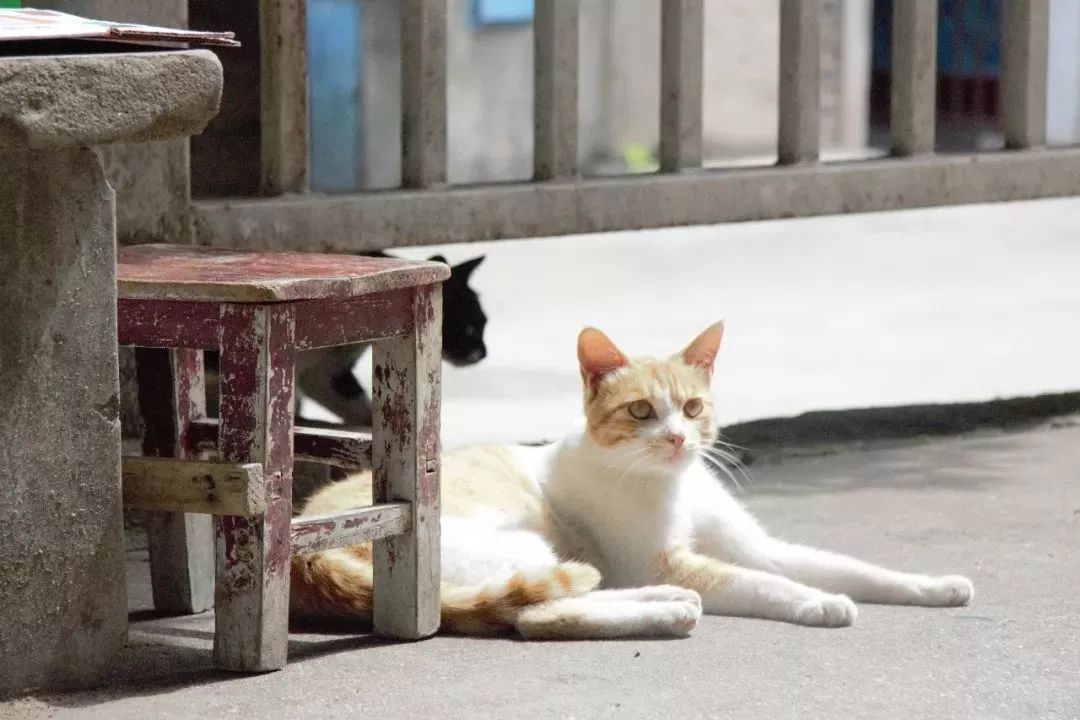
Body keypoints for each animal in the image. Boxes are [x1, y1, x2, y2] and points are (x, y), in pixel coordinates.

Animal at [291, 323, 976, 639]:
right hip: (517, 548)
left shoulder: (759, 547)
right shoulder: (667, 558)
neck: (674, 483)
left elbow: (853, 568)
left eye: (693, 408)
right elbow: (766, 584)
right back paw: (668, 608)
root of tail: (305, 546)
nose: (677, 438)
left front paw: (934, 586)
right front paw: (820, 602)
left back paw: (667, 605)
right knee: (542, 611)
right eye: (643, 411)